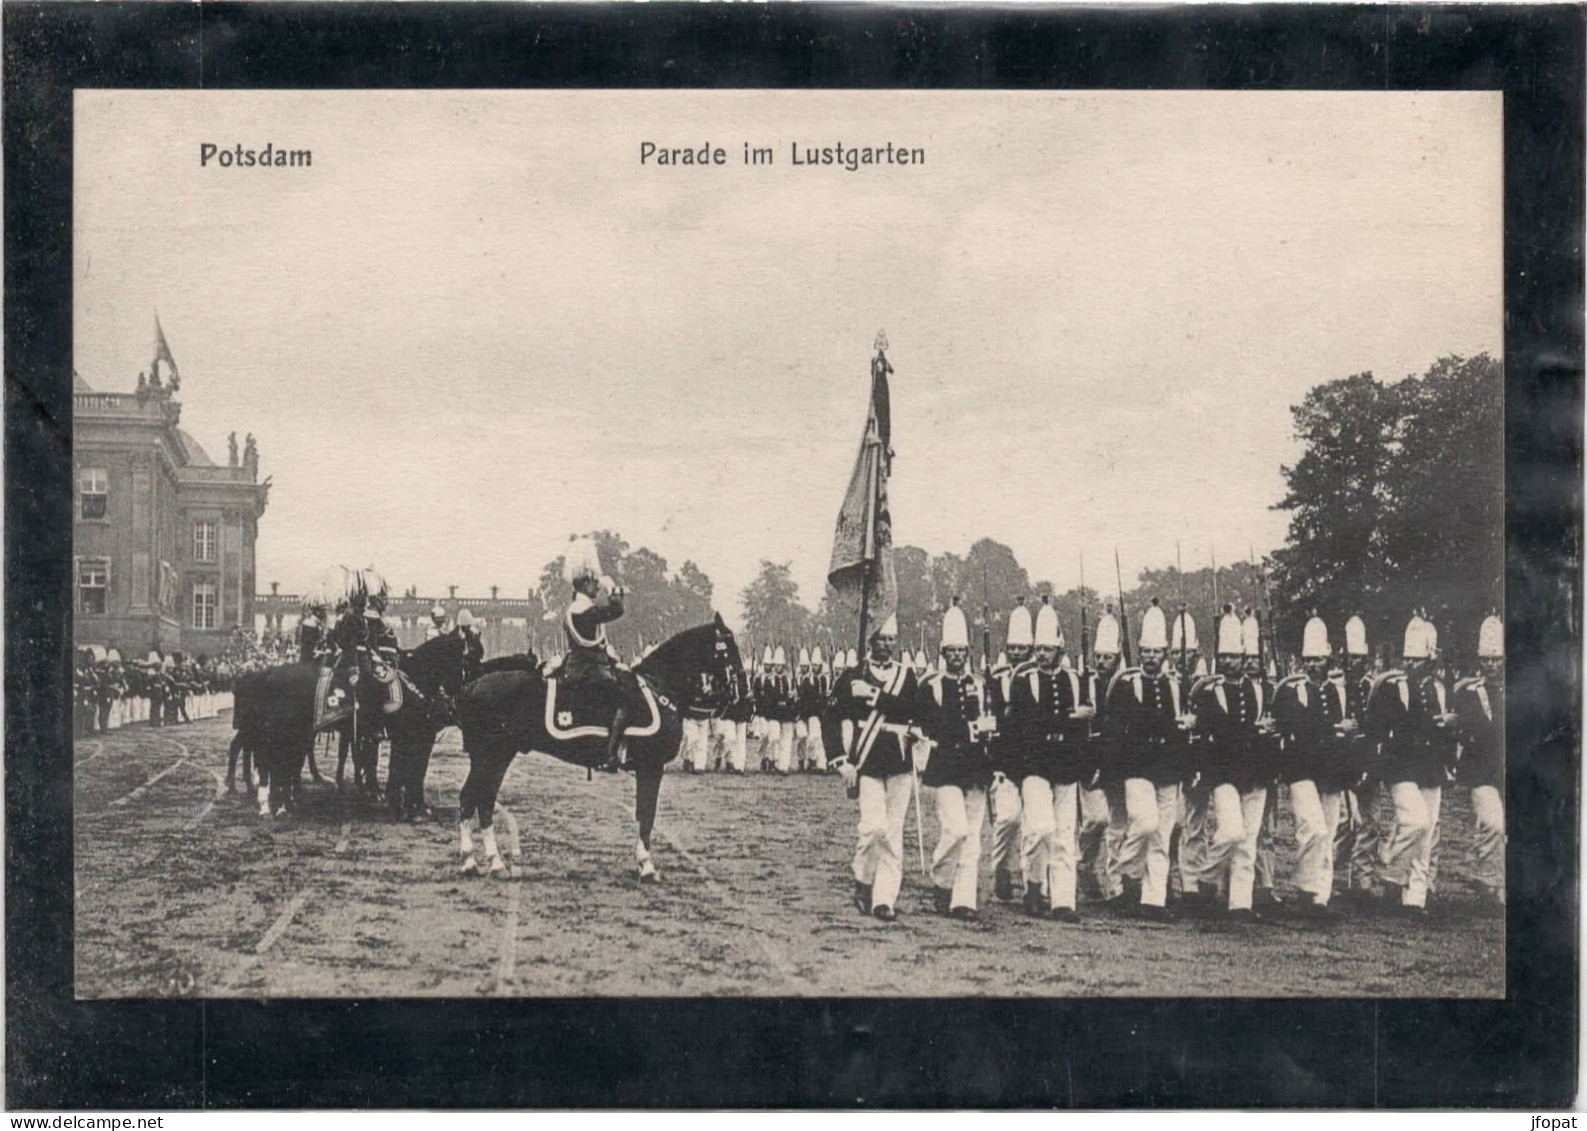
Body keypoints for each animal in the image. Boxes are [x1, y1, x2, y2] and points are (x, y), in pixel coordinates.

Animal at [228, 631, 469, 818]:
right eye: (465, 661)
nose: (454, 702)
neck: (414, 681)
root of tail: (265, 675)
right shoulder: (410, 736)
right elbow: (405, 768)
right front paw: (404, 805)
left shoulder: (413, 736)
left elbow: (406, 768)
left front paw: (407, 803)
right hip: (279, 731)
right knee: (266, 758)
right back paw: (267, 798)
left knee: (278, 761)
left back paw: (280, 799)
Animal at [450, 612, 739, 875]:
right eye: (729, 646)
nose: (740, 692)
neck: (658, 689)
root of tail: (471, 686)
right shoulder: (652, 766)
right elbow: (647, 814)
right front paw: (646, 864)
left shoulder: (649, 768)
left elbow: (643, 813)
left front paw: (642, 860)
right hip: (494, 755)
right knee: (477, 799)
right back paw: (482, 861)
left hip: (489, 756)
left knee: (477, 800)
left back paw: (481, 861)